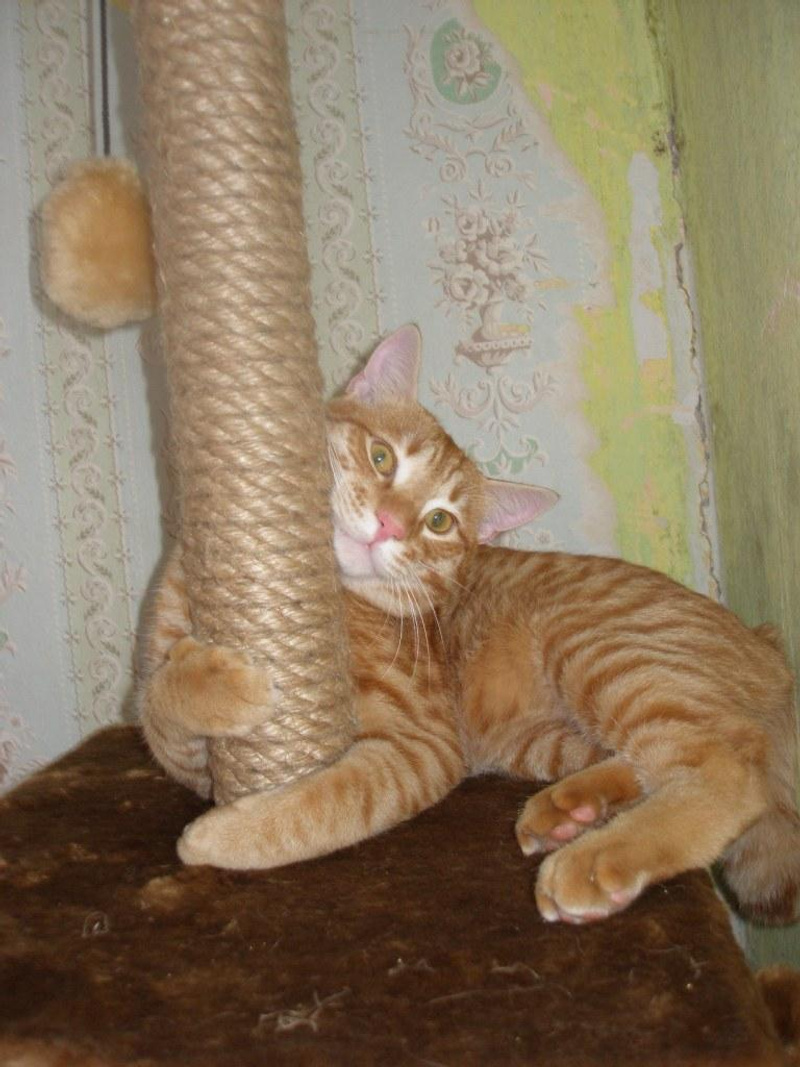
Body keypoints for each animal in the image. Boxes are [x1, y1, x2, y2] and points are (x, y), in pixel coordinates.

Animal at [140, 324, 800, 926]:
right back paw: (571, 811)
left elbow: (326, 805)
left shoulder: (422, 747)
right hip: (549, 737)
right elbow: (158, 706)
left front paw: (222, 837)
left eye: (438, 522)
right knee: (652, 759)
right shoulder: (188, 755)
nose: (388, 525)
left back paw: (593, 860)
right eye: (381, 457)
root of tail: (768, 644)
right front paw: (215, 682)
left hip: (601, 653)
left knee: (729, 769)